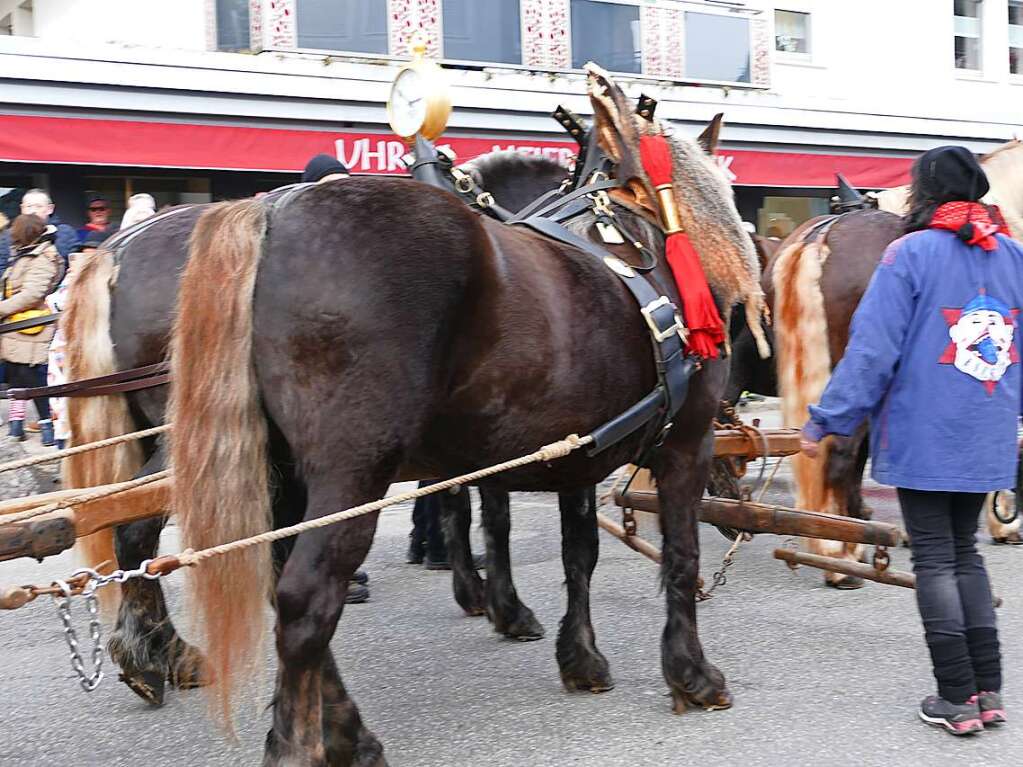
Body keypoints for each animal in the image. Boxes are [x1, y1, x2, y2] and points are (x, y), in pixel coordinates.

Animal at [61, 148, 576, 703]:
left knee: (130, 523)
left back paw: (154, 653)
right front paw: (501, 604)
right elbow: (485, 509)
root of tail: (113, 250)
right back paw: (161, 653)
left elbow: (454, 501)